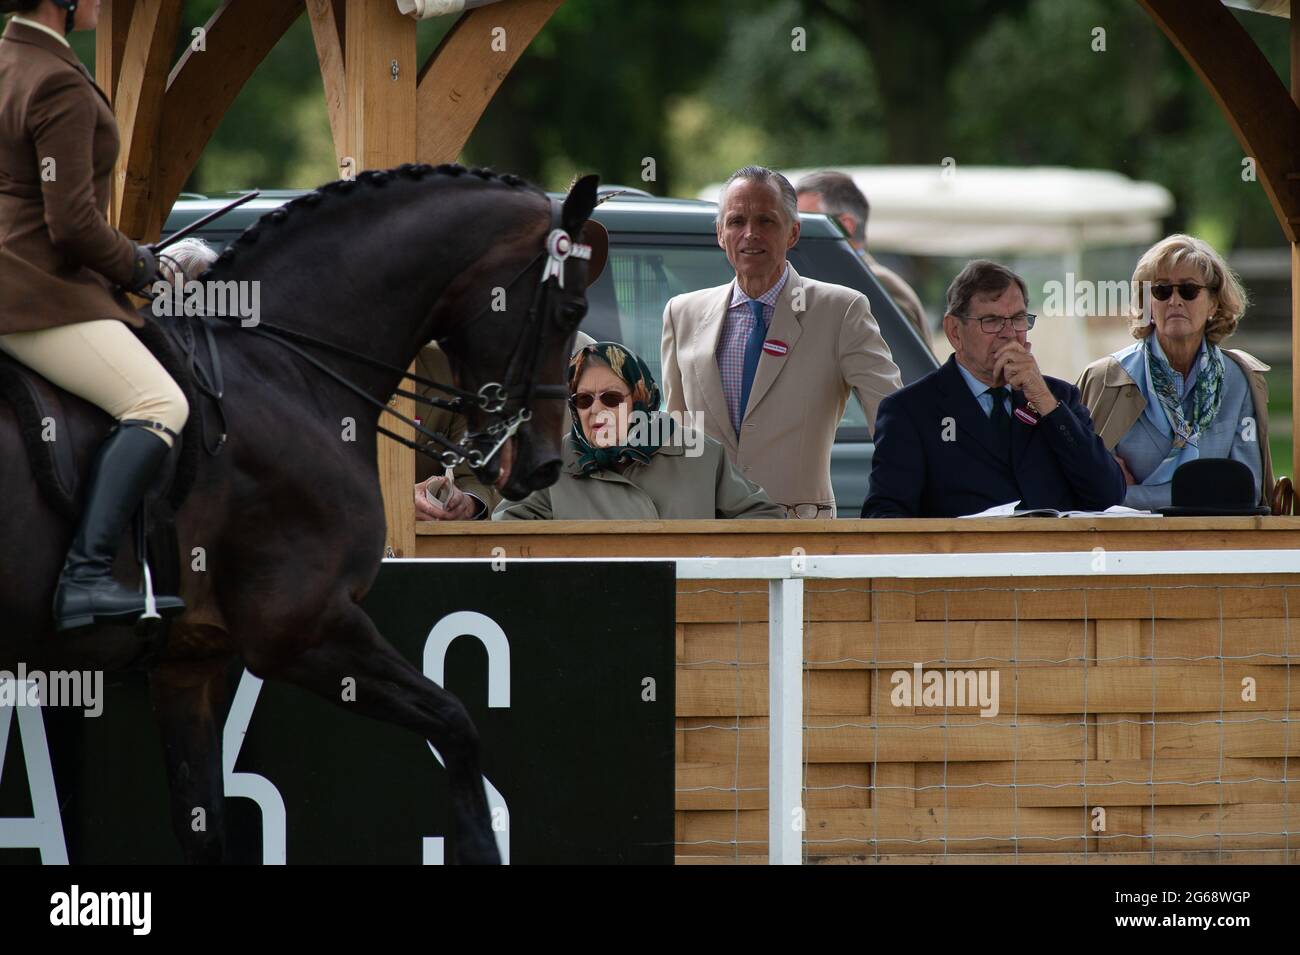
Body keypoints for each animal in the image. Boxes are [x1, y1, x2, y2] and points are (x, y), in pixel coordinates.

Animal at [0, 164, 598, 867]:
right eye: (571, 310)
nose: (543, 466)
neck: (283, 370)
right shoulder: (302, 628)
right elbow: (457, 724)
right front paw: (481, 846)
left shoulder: (188, 664)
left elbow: (204, 828)